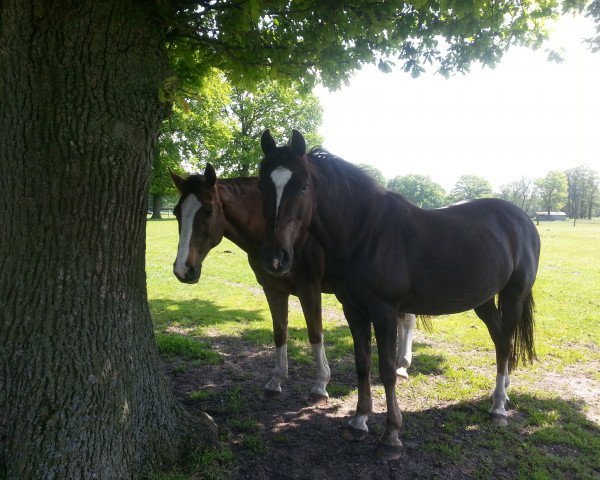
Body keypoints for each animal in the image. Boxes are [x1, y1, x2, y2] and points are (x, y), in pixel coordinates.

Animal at [169, 167, 420, 404]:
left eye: (208, 211)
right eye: (176, 212)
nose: (183, 269)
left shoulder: (310, 291)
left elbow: (315, 334)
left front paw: (320, 386)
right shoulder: (272, 290)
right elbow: (280, 332)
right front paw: (276, 382)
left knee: (407, 320)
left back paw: (401, 365)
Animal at [255, 130, 540, 462]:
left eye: (302, 186)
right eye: (262, 186)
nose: (276, 258)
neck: (365, 234)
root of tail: (521, 218)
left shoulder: (385, 313)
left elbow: (388, 370)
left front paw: (390, 436)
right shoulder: (354, 311)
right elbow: (362, 364)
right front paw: (358, 422)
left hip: (513, 296)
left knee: (505, 342)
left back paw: (498, 408)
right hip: (483, 300)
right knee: (500, 341)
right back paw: (501, 395)